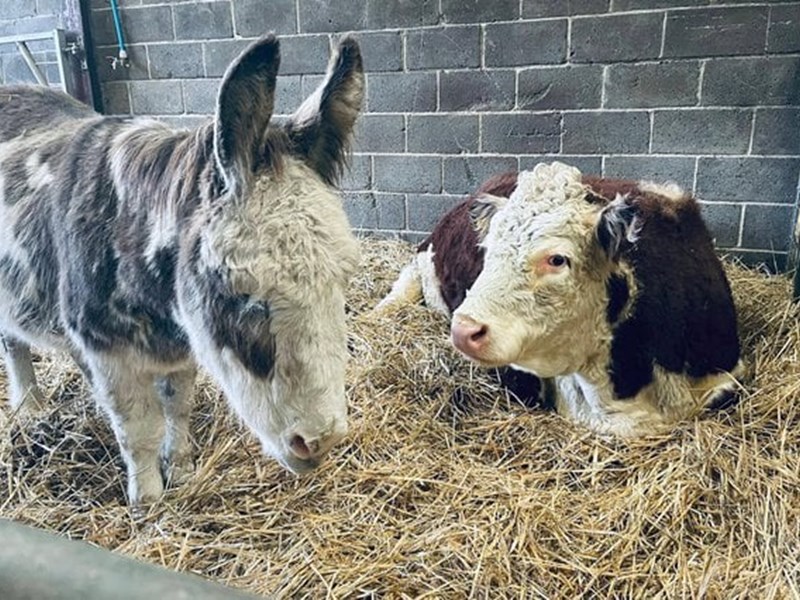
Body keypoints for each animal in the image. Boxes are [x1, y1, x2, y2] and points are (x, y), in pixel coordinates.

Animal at [0, 35, 364, 505]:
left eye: (343, 282)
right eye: (243, 298)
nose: (320, 441)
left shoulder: (181, 351)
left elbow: (178, 407)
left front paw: (182, 470)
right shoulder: (108, 353)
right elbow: (138, 430)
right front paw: (148, 500)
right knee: (12, 341)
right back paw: (29, 407)